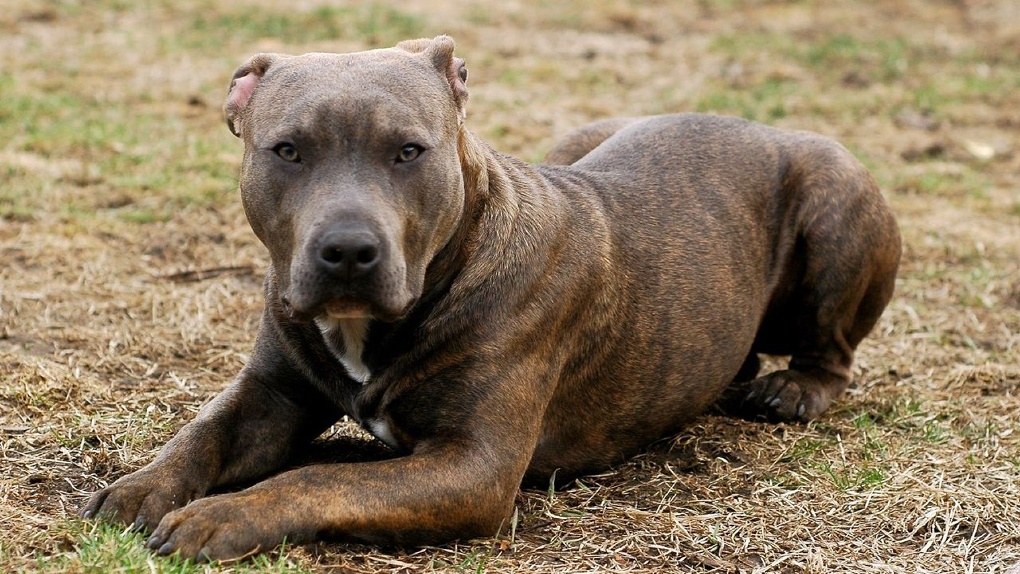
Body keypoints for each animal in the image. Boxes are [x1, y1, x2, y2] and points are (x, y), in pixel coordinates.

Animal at [83, 35, 905, 562]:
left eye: (408, 151)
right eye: (286, 150)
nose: (348, 251)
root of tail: (760, 125)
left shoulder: (473, 467)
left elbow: (322, 476)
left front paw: (221, 515)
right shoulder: (271, 392)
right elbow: (203, 434)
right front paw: (139, 488)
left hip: (836, 197)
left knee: (833, 350)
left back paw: (791, 390)